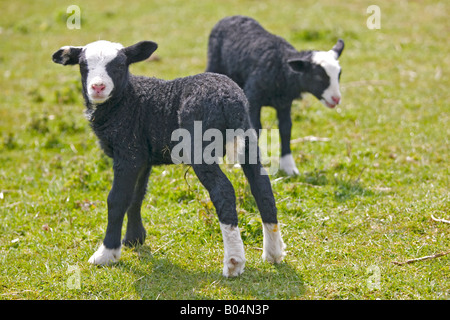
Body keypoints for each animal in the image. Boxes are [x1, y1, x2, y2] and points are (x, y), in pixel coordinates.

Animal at [51, 39, 284, 276]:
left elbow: (117, 199)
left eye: (120, 65)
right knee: (262, 186)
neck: (128, 100)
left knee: (224, 190)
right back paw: (273, 252)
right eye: (83, 66)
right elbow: (136, 196)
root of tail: (229, 100)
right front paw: (134, 239)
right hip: (248, 137)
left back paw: (234, 261)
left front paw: (106, 253)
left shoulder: (128, 151)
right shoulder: (142, 156)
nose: (98, 87)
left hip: (200, 146)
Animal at [206, 15, 346, 175]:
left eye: (339, 74)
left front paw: (289, 166)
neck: (280, 66)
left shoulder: (285, 103)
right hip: (215, 64)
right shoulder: (253, 98)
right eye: (317, 76)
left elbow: (286, 128)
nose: (336, 99)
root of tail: (231, 17)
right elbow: (256, 128)